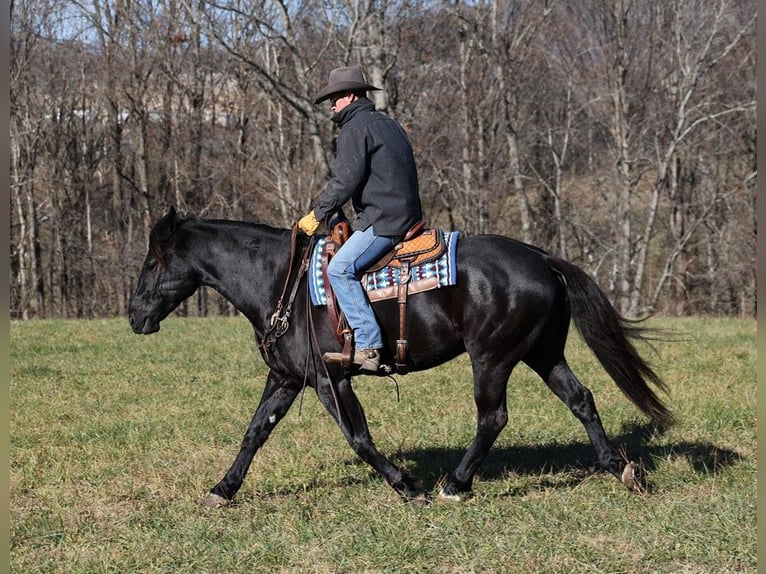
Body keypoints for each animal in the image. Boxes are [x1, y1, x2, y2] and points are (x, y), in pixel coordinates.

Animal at [126, 207, 672, 508]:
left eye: (152, 262)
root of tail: (542, 257)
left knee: (492, 417)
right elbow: (254, 433)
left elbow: (359, 440)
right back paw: (619, 468)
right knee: (581, 399)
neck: (283, 282)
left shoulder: (330, 381)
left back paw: (455, 484)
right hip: (542, 353)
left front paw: (407, 485)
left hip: (491, 359)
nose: (134, 316)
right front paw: (223, 489)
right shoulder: (285, 378)